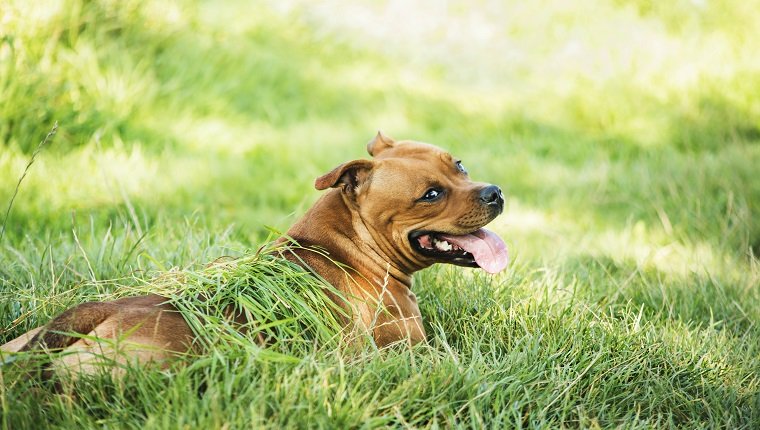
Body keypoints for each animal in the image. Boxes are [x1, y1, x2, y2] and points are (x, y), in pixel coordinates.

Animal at [2, 132, 510, 376]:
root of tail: (96, 311)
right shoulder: (415, 351)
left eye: (459, 165)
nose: (495, 192)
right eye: (430, 194)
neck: (350, 244)